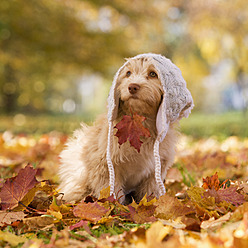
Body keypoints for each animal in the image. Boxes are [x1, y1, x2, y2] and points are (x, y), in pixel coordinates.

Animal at [58, 53, 194, 203]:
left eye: (153, 74)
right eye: (128, 73)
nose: (132, 86)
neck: (140, 122)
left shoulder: (156, 170)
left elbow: (150, 192)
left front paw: (152, 205)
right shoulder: (105, 165)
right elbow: (111, 189)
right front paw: (114, 206)